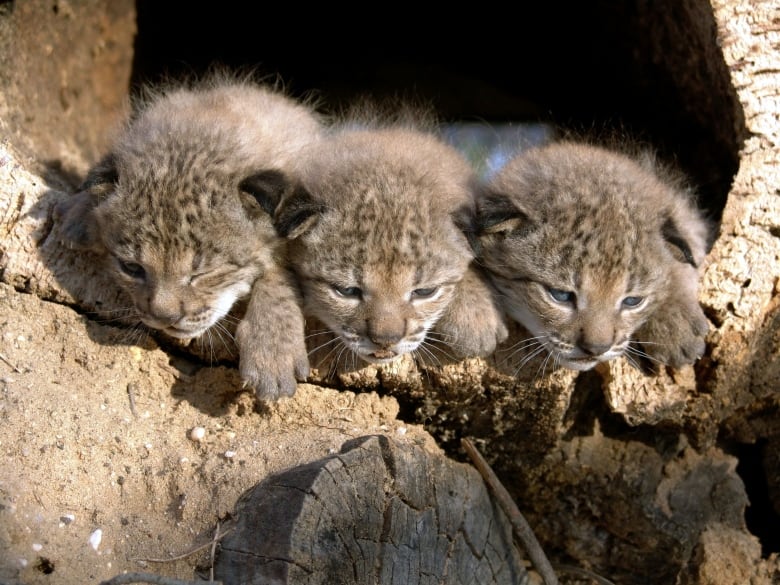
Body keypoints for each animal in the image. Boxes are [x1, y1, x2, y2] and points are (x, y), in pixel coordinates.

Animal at [54, 74, 322, 396]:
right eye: (132, 268)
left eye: (203, 273)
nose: (163, 318)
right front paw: (80, 212)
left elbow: (279, 272)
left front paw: (272, 352)